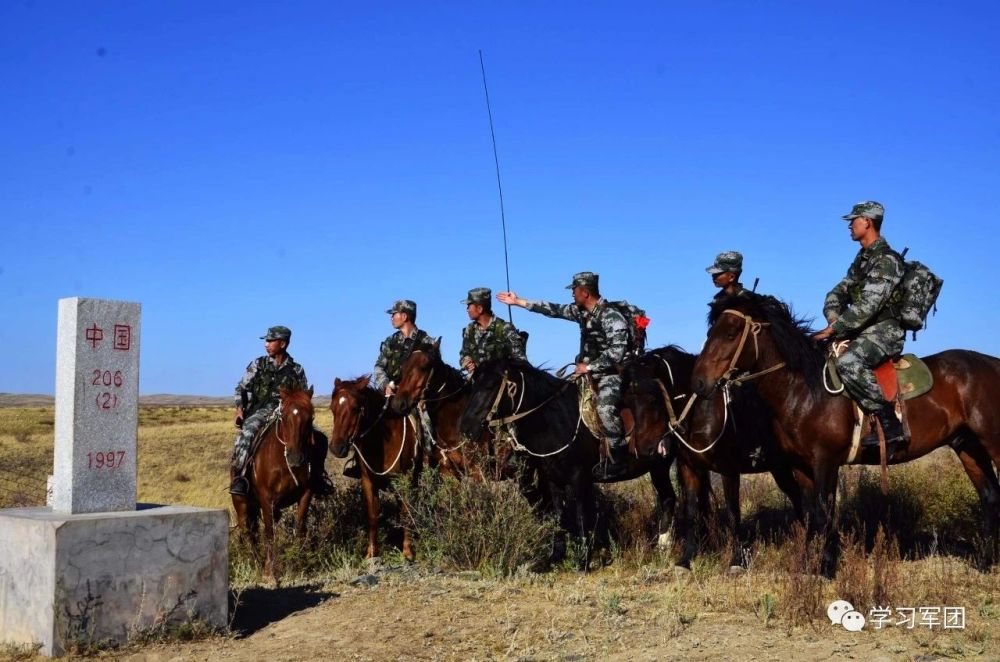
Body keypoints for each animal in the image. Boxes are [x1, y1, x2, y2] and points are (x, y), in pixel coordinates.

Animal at [328, 378, 422, 560]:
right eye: (332, 408)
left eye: (355, 408)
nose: (336, 448)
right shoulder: (367, 481)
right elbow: (372, 515)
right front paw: (371, 553)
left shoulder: (404, 479)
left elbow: (405, 513)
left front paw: (407, 551)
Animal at [620, 348, 808, 572]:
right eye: (628, 402)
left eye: (652, 400)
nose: (643, 449)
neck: (701, 412)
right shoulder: (690, 468)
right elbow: (691, 511)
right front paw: (686, 559)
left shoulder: (729, 470)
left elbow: (733, 512)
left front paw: (737, 560)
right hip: (780, 469)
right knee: (796, 495)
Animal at [688, 296, 1000, 576]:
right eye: (710, 332)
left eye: (730, 334)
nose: (699, 383)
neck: (805, 390)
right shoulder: (801, 467)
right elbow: (810, 514)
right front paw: (807, 565)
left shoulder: (825, 461)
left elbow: (825, 513)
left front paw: (826, 567)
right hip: (968, 448)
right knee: (989, 497)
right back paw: (985, 563)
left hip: (991, 443)